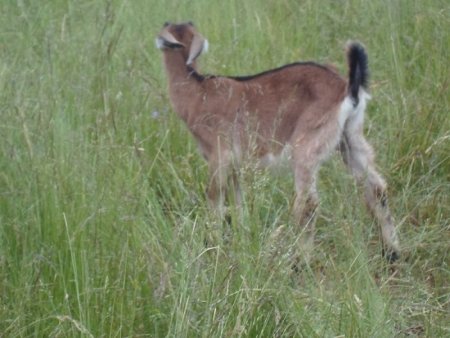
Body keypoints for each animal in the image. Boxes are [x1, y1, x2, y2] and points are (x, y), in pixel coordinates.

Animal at [156, 21, 400, 264]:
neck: (197, 92)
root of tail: (349, 88)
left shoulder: (220, 155)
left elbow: (215, 198)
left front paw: (213, 247)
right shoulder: (236, 164)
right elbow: (238, 203)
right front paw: (242, 241)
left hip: (307, 146)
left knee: (308, 203)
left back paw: (301, 262)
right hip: (350, 138)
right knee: (376, 187)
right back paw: (392, 252)